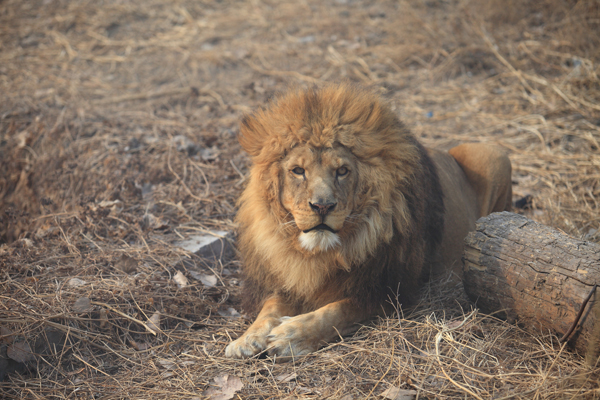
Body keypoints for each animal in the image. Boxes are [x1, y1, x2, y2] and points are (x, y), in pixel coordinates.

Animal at [225, 84, 510, 360]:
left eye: (342, 171)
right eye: (298, 171)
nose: (322, 206)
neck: (320, 254)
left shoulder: (387, 291)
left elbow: (336, 311)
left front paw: (291, 335)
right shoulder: (289, 278)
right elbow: (269, 307)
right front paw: (247, 338)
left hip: (493, 153)